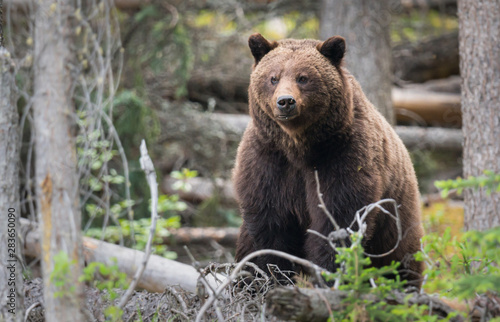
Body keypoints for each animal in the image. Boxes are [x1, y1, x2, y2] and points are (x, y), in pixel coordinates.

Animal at [232, 33, 424, 286]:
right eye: (273, 77)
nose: (285, 101)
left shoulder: (342, 156)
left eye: (303, 77)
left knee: (400, 262)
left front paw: (329, 274)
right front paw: (270, 276)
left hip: (396, 220)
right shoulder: (267, 161)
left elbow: (338, 220)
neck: (298, 146)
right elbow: (270, 226)